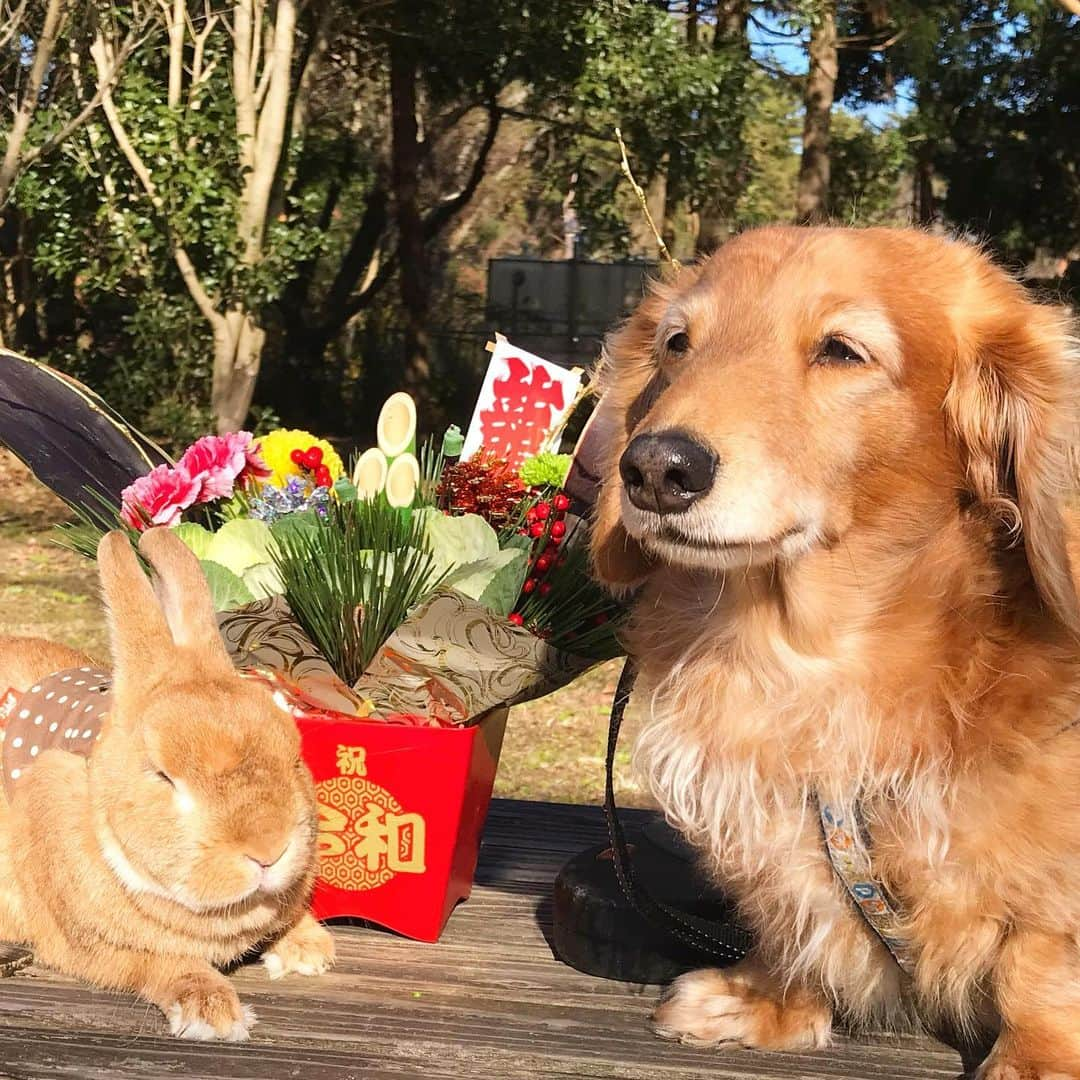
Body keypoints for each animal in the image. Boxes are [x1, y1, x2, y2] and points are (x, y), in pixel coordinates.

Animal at [0, 529, 332, 1036]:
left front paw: (310, 951)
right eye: (164, 776)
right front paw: (213, 1014)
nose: (269, 850)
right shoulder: (90, 947)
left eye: (293, 755)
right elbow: (161, 964)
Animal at [596, 223, 1080, 1075]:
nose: (655, 467)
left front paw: (1036, 1056)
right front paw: (769, 997)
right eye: (677, 343)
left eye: (841, 350)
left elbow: (1039, 958)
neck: (809, 653)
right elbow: (795, 918)